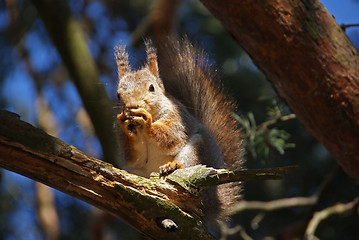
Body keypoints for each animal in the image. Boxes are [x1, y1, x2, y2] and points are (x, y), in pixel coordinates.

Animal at [115, 36, 245, 226]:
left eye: (151, 88)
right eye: (118, 95)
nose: (132, 106)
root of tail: (211, 206)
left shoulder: (178, 119)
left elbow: (172, 136)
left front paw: (147, 124)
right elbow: (135, 157)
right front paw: (127, 127)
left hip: (198, 151)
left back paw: (173, 166)